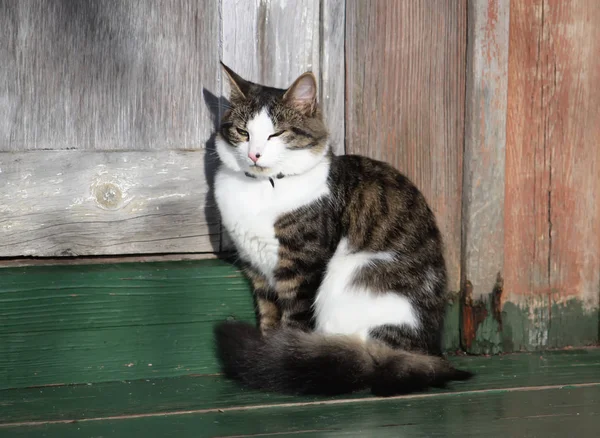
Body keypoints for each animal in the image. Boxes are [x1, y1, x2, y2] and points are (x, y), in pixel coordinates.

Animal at [213, 62, 472, 396]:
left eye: (276, 134)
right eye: (243, 132)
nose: (254, 154)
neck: (259, 189)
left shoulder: (302, 266)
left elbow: (293, 320)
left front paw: (281, 356)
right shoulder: (257, 269)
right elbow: (269, 316)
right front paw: (267, 349)